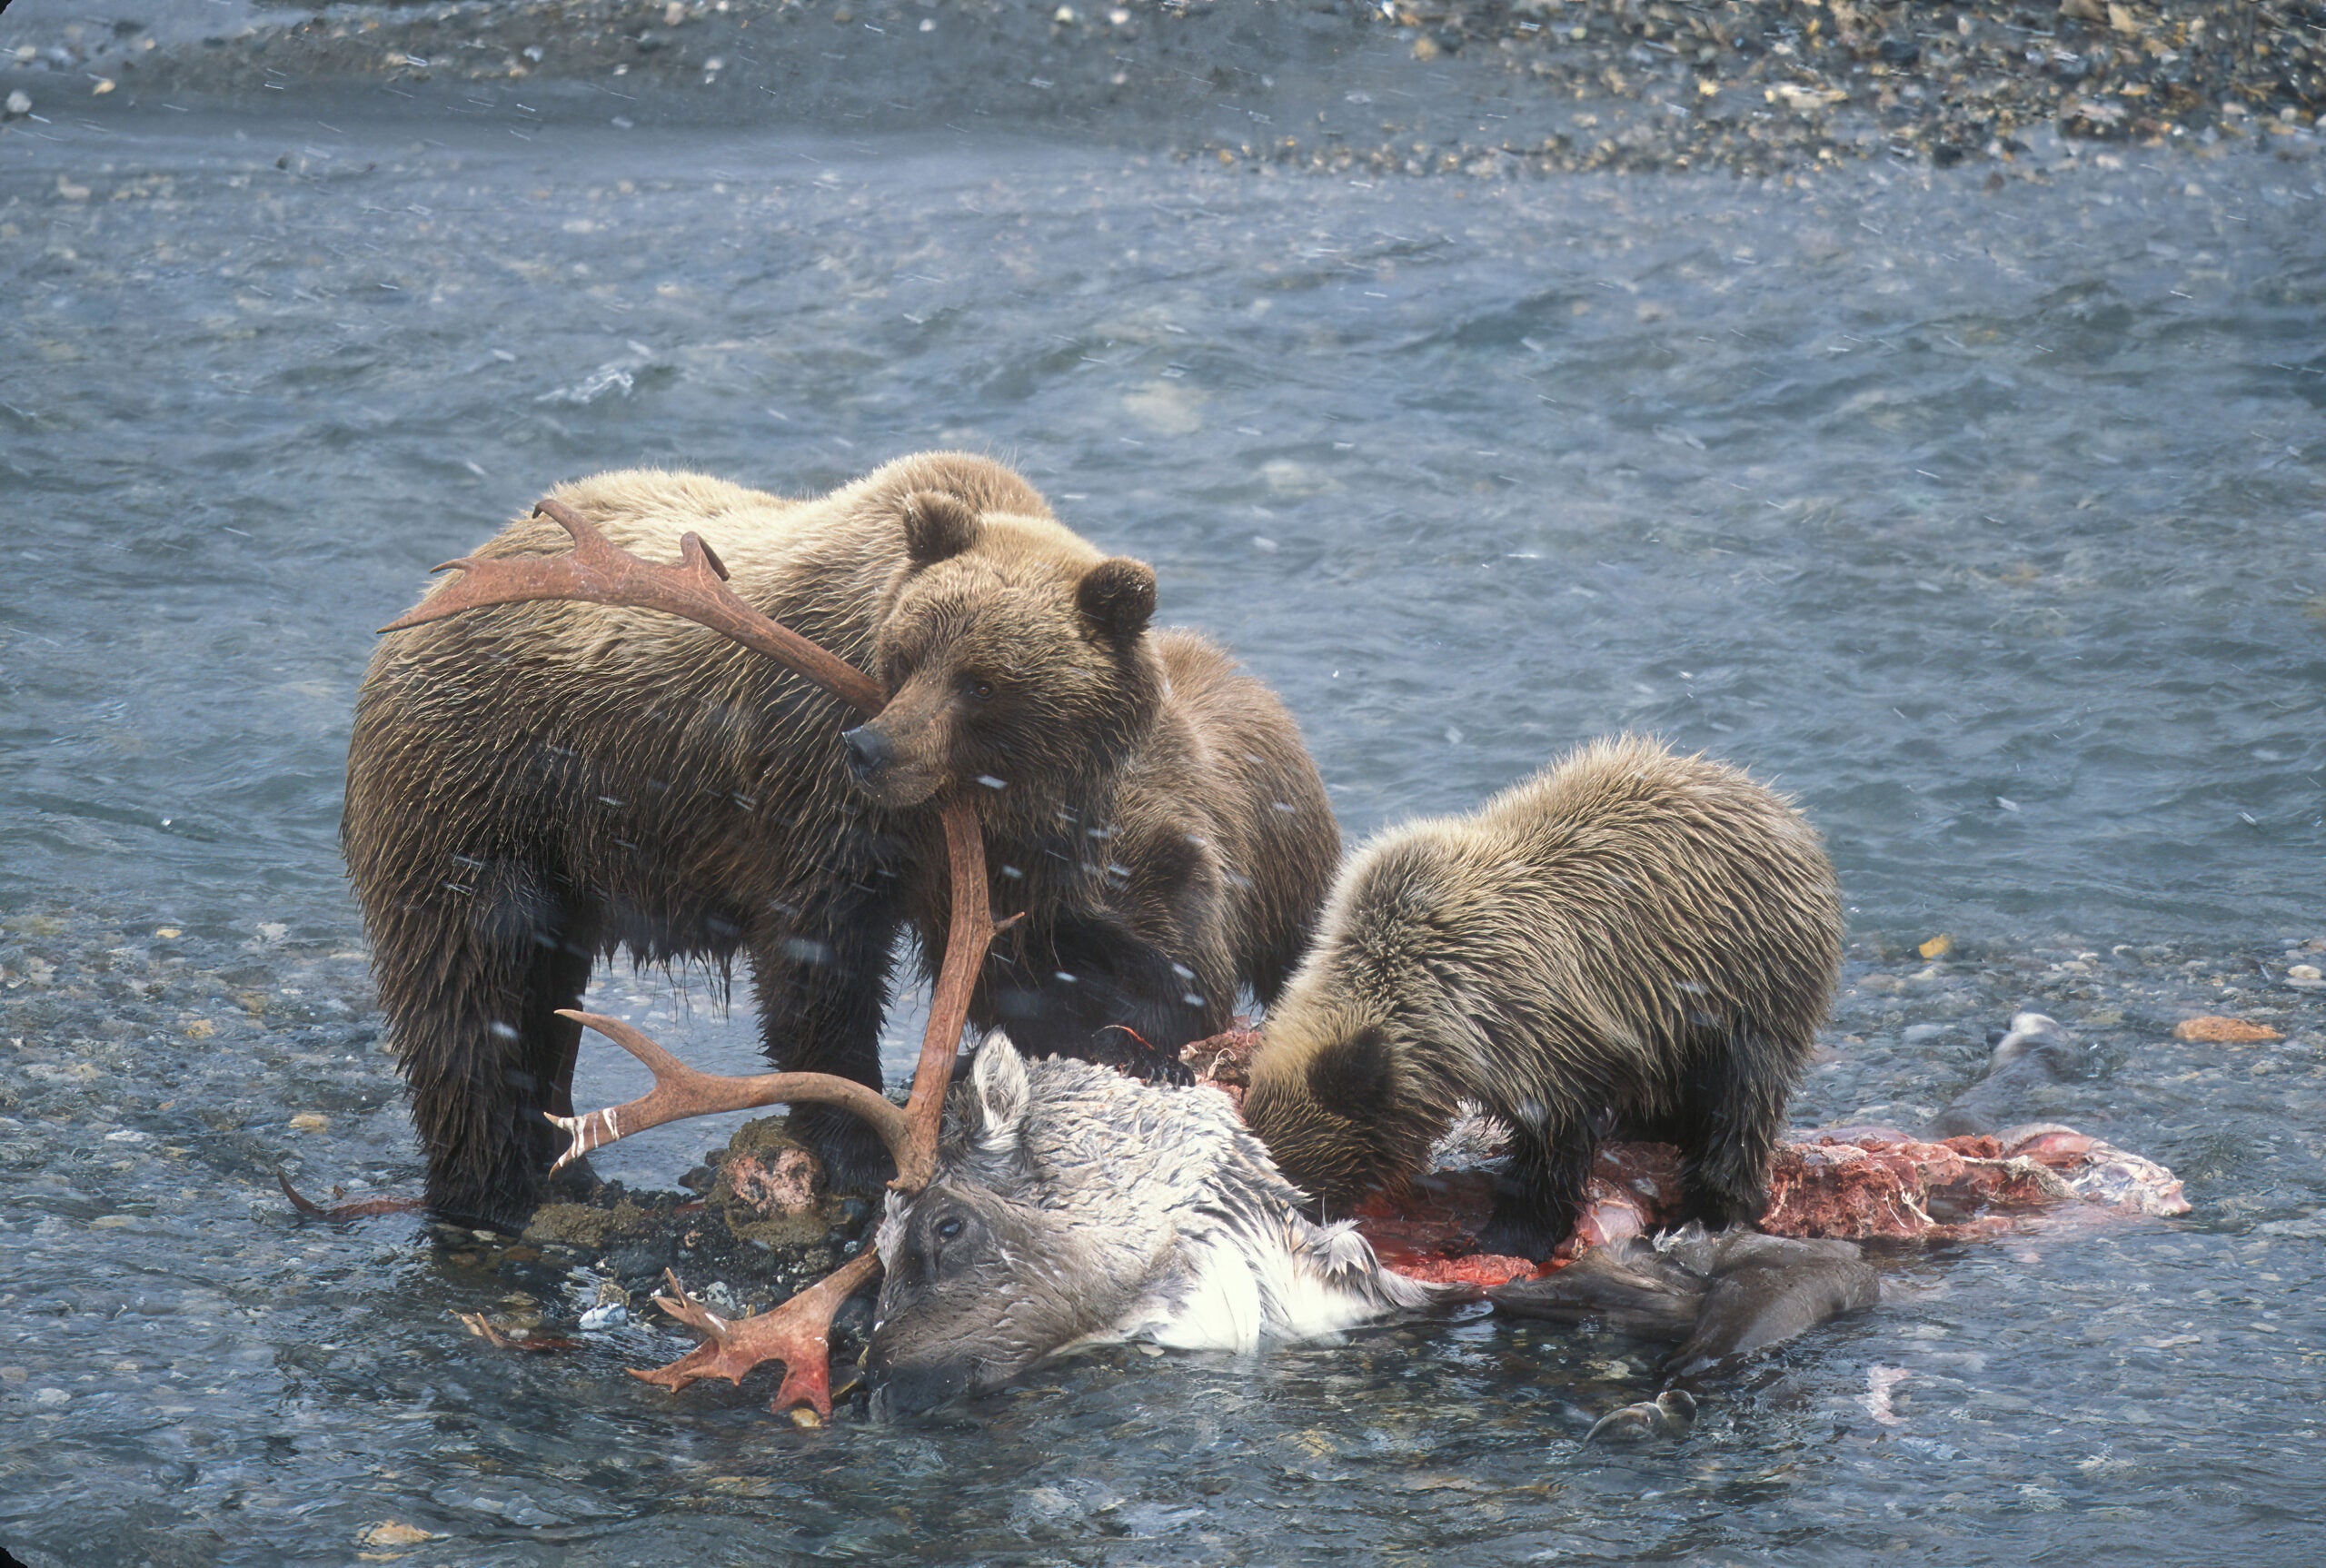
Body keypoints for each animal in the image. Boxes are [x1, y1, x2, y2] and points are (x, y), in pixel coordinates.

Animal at [343, 452, 1337, 1229]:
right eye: (911, 653)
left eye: (983, 681)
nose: (873, 748)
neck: (974, 801)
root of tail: (435, 590)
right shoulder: (814, 802)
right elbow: (818, 964)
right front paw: (860, 1143)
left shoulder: (1021, 856)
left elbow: (1043, 972)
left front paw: (1129, 1047)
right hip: (484, 799)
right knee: (470, 989)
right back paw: (491, 1184)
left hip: (560, 861)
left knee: (544, 1001)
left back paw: (564, 1161)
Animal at [1240, 734, 1842, 1261]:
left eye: (1297, 1182)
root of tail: (1783, 809)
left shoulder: (1538, 1027)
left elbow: (1554, 1142)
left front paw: (1510, 1233)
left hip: (1746, 976)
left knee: (1743, 1099)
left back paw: (1710, 1205)